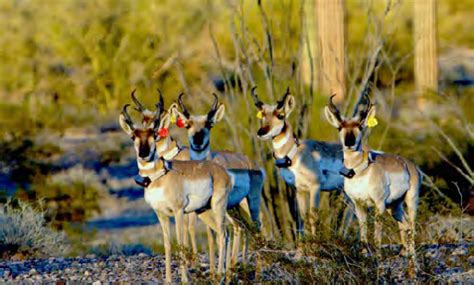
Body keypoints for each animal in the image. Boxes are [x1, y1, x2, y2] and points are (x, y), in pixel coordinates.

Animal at [118, 102, 233, 282]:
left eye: (154, 134)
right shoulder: (161, 214)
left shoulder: (178, 212)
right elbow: (167, 244)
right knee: (226, 233)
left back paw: (220, 275)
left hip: (217, 207)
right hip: (204, 211)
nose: (143, 154)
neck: (159, 177)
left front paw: (184, 279)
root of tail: (221, 170)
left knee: (222, 234)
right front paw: (168, 280)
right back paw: (226, 276)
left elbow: (181, 242)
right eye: (133, 136)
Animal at [171, 93, 266, 264]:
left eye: (209, 124)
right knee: (241, 226)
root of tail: (250, 162)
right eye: (188, 124)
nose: (198, 141)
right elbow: (211, 236)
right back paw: (236, 262)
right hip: (234, 207)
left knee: (254, 223)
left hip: (248, 202)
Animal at [248, 87, 344, 234]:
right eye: (263, 115)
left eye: (280, 115)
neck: (296, 155)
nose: (261, 132)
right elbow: (303, 218)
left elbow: (313, 218)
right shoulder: (300, 190)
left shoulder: (315, 187)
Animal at [324, 95, 420, 260]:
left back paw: (413, 262)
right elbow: (363, 235)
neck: (361, 172)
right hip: (394, 207)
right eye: (340, 127)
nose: (349, 143)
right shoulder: (359, 205)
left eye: (360, 127)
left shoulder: (379, 205)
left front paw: (378, 260)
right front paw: (364, 257)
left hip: (410, 201)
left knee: (412, 227)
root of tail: (408, 164)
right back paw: (406, 257)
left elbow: (377, 236)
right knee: (405, 225)